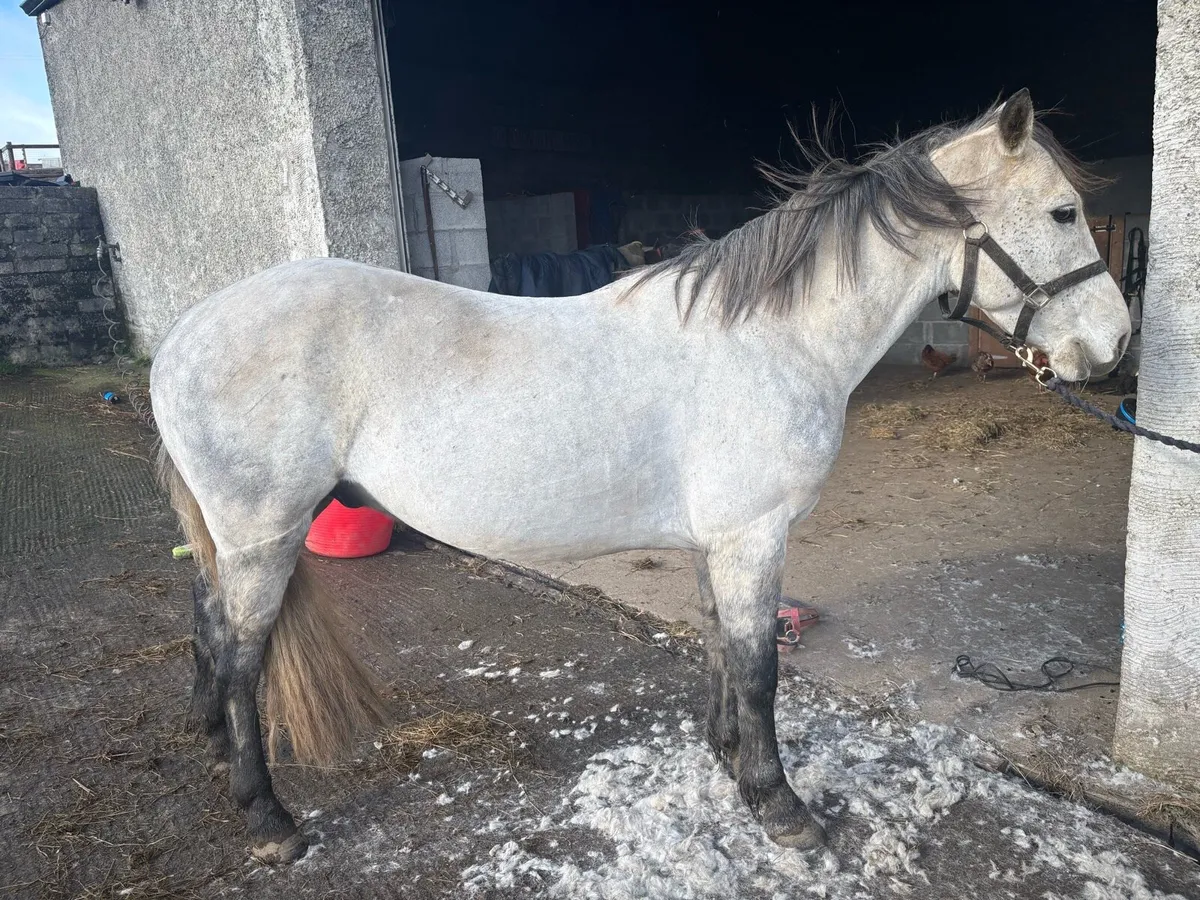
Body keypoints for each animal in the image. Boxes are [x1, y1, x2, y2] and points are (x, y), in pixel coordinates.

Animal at [150, 90, 1131, 864]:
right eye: (1061, 213)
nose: (1114, 344)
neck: (772, 338)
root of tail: (182, 337)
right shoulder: (753, 535)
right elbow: (761, 668)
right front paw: (781, 807)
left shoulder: (717, 540)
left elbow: (721, 646)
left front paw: (726, 758)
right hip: (265, 534)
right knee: (240, 659)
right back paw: (269, 820)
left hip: (234, 540)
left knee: (209, 629)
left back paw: (216, 751)